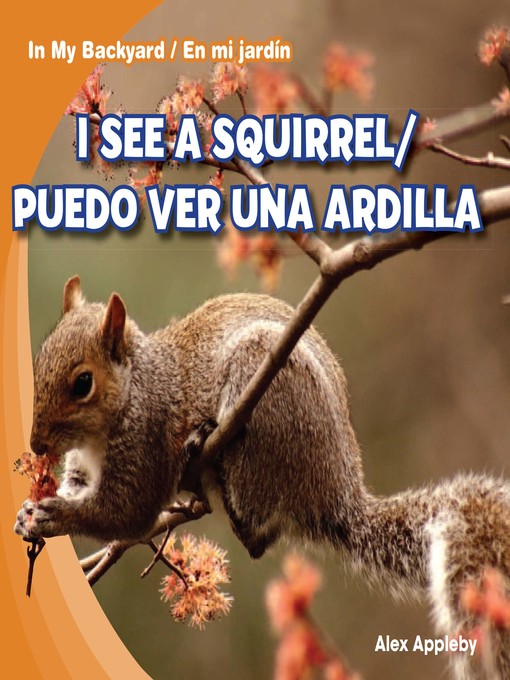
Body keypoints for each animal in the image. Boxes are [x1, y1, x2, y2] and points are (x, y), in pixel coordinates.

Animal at [14, 275, 510, 680]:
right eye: (37, 364)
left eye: (83, 383)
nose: (37, 445)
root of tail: (336, 493)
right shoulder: (84, 467)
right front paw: (28, 514)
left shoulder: (146, 440)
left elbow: (128, 513)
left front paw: (54, 517)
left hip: (266, 406)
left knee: (255, 534)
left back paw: (209, 458)